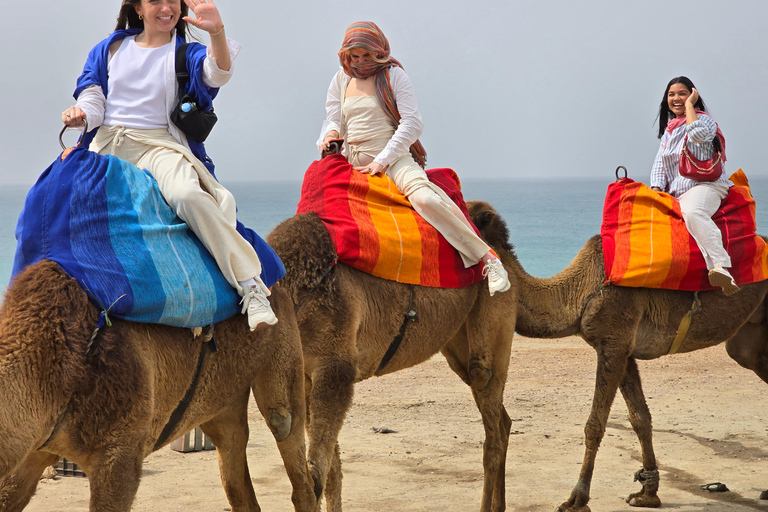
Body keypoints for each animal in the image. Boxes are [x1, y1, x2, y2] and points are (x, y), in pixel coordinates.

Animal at [0, 260, 318, 512]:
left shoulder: (119, 455)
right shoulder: (33, 450)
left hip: (281, 337)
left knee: (285, 428)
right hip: (223, 400)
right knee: (236, 468)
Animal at [268, 206, 520, 510]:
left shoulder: (334, 365)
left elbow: (314, 477)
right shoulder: (303, 375)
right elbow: (327, 472)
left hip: (494, 310)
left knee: (487, 395)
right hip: (459, 340)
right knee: (500, 416)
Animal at [462, 201, 768, 512]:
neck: (579, 292)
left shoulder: (614, 340)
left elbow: (595, 425)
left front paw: (576, 499)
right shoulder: (623, 349)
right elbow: (640, 417)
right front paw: (648, 493)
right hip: (751, 334)